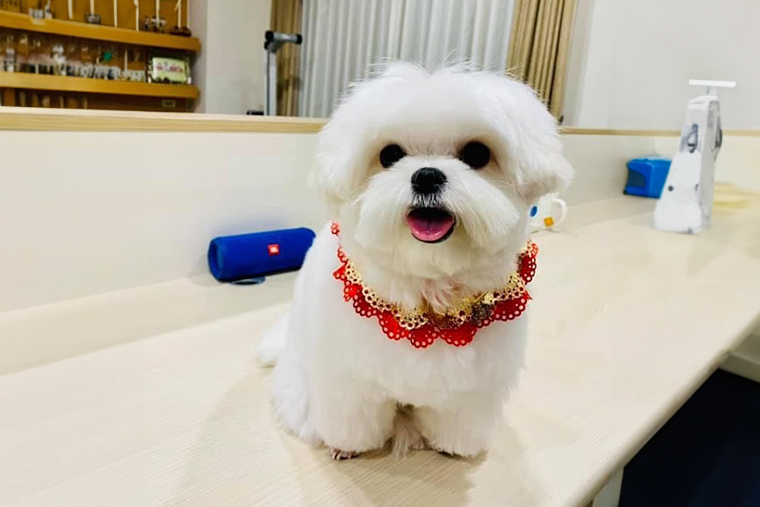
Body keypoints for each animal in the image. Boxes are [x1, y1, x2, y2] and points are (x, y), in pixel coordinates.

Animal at [258, 62, 573, 460]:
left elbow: (456, 420)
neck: (426, 295)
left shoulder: (470, 389)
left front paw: (452, 448)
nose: (426, 175)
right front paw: (348, 447)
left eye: (477, 153)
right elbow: (352, 420)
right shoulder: (349, 382)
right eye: (389, 154)